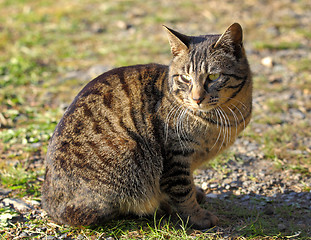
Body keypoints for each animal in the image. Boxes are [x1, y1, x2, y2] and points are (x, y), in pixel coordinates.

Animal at [41, 23, 252, 231]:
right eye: (185, 78)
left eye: (213, 76)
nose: (197, 98)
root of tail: (49, 204)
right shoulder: (175, 157)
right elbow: (182, 193)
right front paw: (197, 216)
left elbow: (188, 184)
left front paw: (196, 193)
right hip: (130, 151)